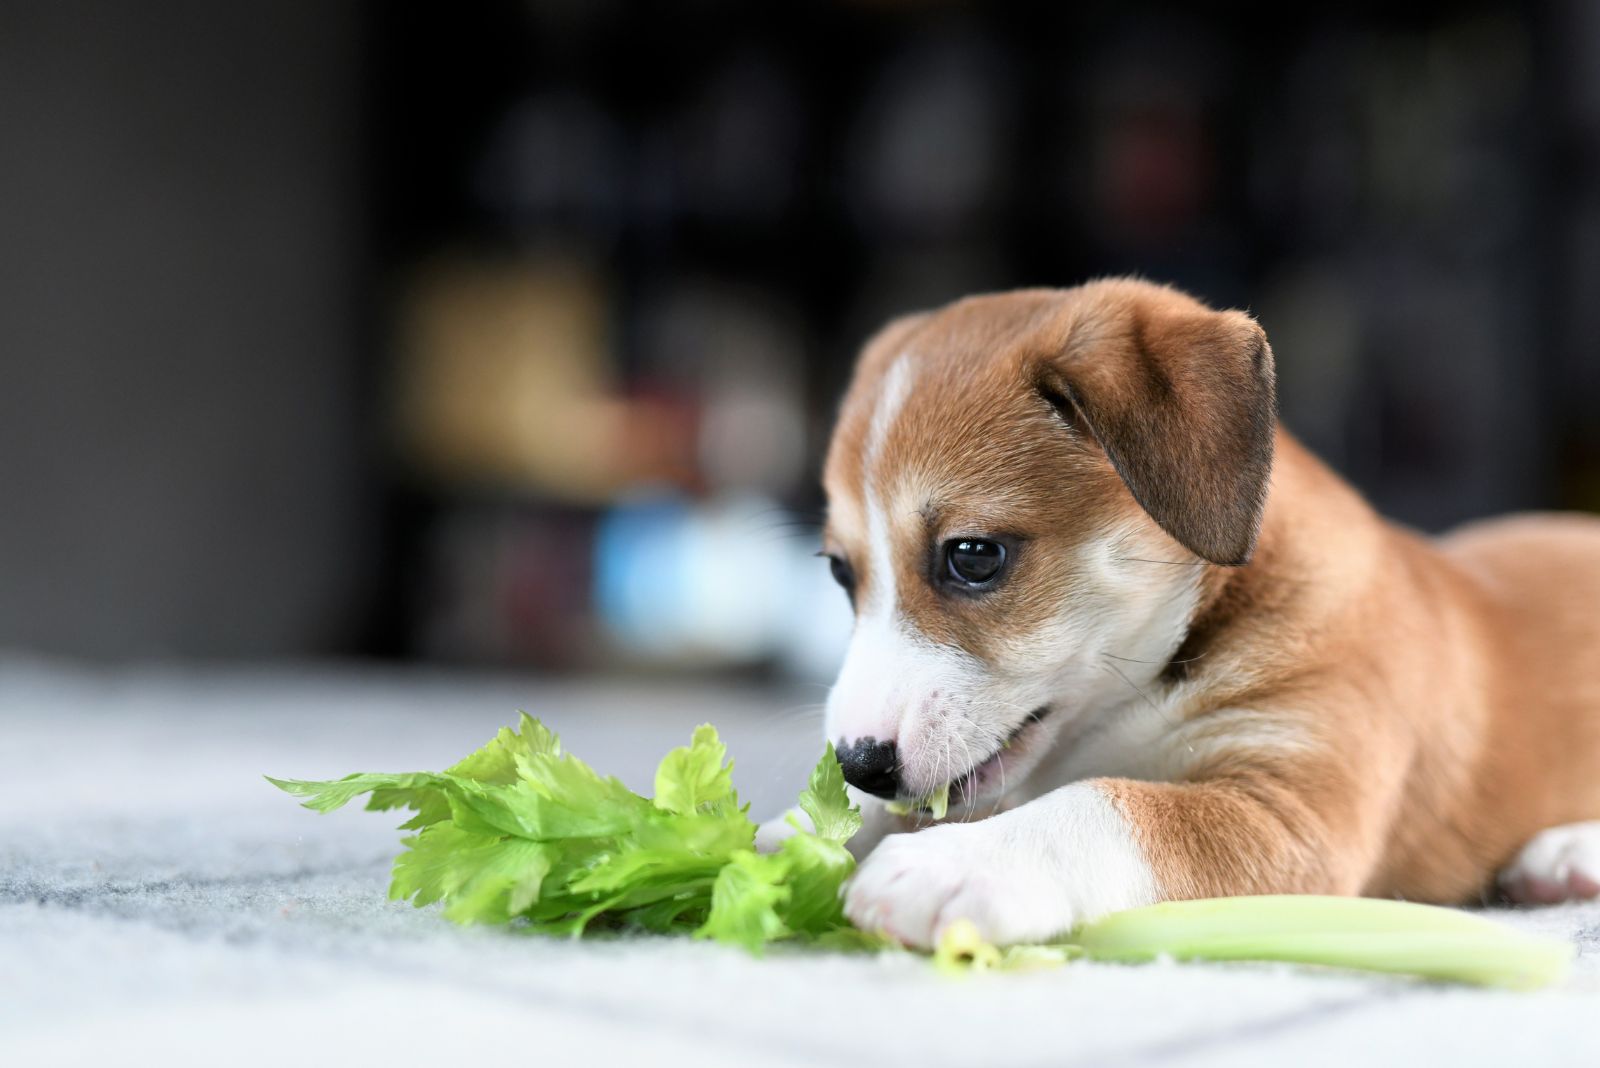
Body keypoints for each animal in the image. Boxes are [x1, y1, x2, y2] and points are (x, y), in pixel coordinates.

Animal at [806, 279, 1600, 946]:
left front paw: (956, 865)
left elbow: (1104, 806)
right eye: (840, 572)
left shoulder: (1292, 814)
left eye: (973, 556)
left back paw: (1569, 852)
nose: (860, 764)